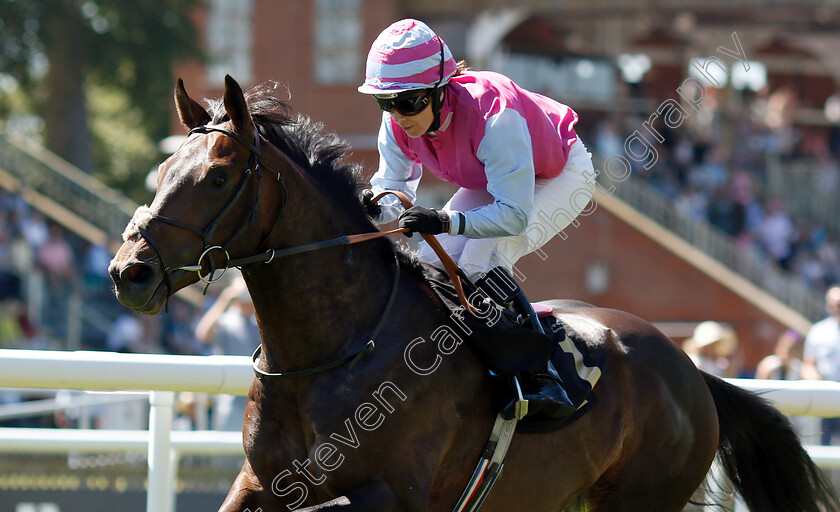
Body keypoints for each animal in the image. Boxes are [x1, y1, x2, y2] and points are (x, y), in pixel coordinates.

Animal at [108, 77, 836, 512]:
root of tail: (693, 374)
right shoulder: (259, 482)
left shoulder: (390, 495)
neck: (332, 354)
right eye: (164, 167)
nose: (128, 272)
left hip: (640, 497)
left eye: (218, 175)